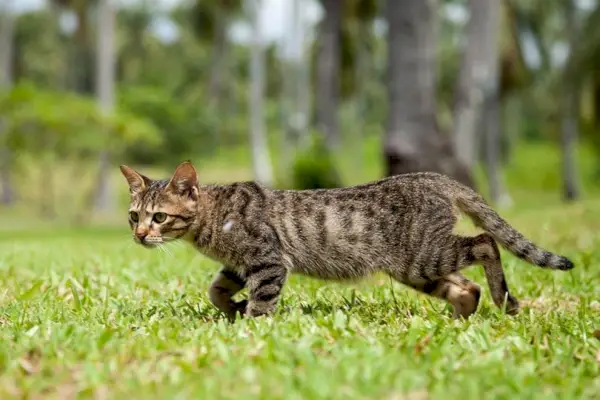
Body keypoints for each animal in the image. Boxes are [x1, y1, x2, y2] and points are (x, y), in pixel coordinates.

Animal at [119, 161, 576, 320]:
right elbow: (215, 290)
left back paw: (505, 299)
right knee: (467, 286)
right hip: (417, 269)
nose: (140, 235)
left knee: (485, 243)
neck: (213, 221)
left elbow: (262, 302)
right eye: (133, 216)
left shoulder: (268, 261)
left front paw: (251, 325)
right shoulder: (240, 265)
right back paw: (460, 316)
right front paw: (232, 308)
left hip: (423, 255)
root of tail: (433, 176)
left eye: (159, 217)